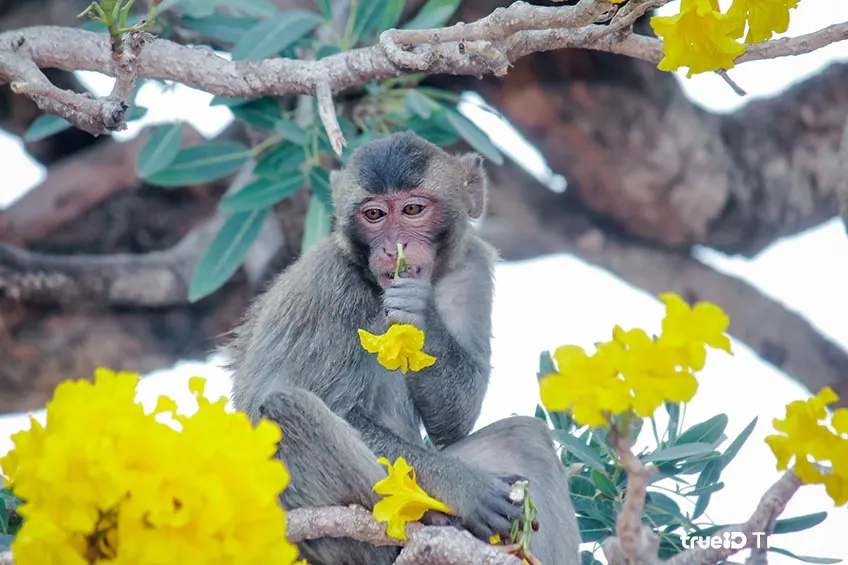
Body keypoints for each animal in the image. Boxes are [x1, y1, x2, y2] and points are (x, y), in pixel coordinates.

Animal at [224, 130, 584, 560]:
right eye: (374, 215)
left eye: (413, 209)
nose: (393, 247)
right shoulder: (332, 285)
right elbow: (306, 402)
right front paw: (464, 487)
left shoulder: (471, 265)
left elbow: (455, 421)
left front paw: (420, 311)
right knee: (286, 408)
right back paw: (431, 517)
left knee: (523, 438)